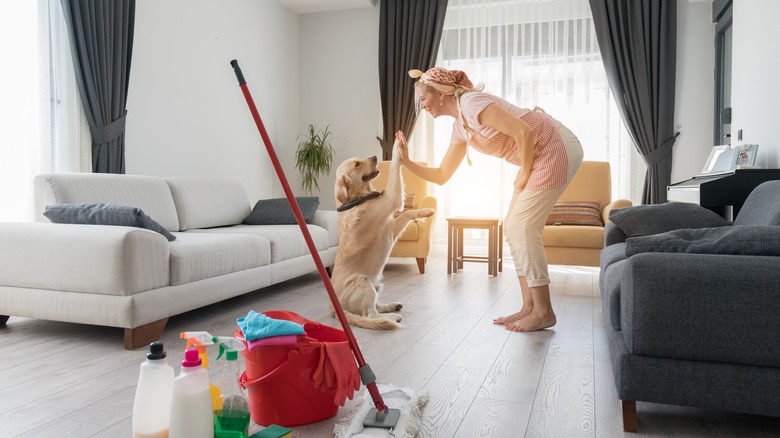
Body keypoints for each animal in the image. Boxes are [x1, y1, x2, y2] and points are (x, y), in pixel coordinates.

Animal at [330, 143, 436, 328]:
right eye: (357, 164)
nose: (374, 157)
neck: (356, 200)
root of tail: (333, 308)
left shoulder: (391, 228)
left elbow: (408, 213)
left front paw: (426, 211)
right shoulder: (391, 199)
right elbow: (394, 166)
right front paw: (397, 147)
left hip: (375, 285)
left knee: (376, 306)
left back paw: (392, 306)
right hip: (364, 284)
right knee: (370, 314)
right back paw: (392, 317)